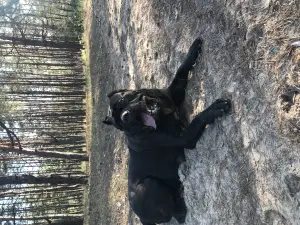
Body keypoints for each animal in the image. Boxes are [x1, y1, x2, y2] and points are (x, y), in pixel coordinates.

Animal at [102, 37, 230, 224]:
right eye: (120, 124)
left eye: (122, 102)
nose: (126, 117)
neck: (162, 114)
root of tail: (141, 217)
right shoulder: (184, 138)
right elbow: (198, 119)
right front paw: (213, 109)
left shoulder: (173, 93)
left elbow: (180, 71)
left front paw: (193, 49)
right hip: (148, 186)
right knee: (173, 213)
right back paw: (182, 207)